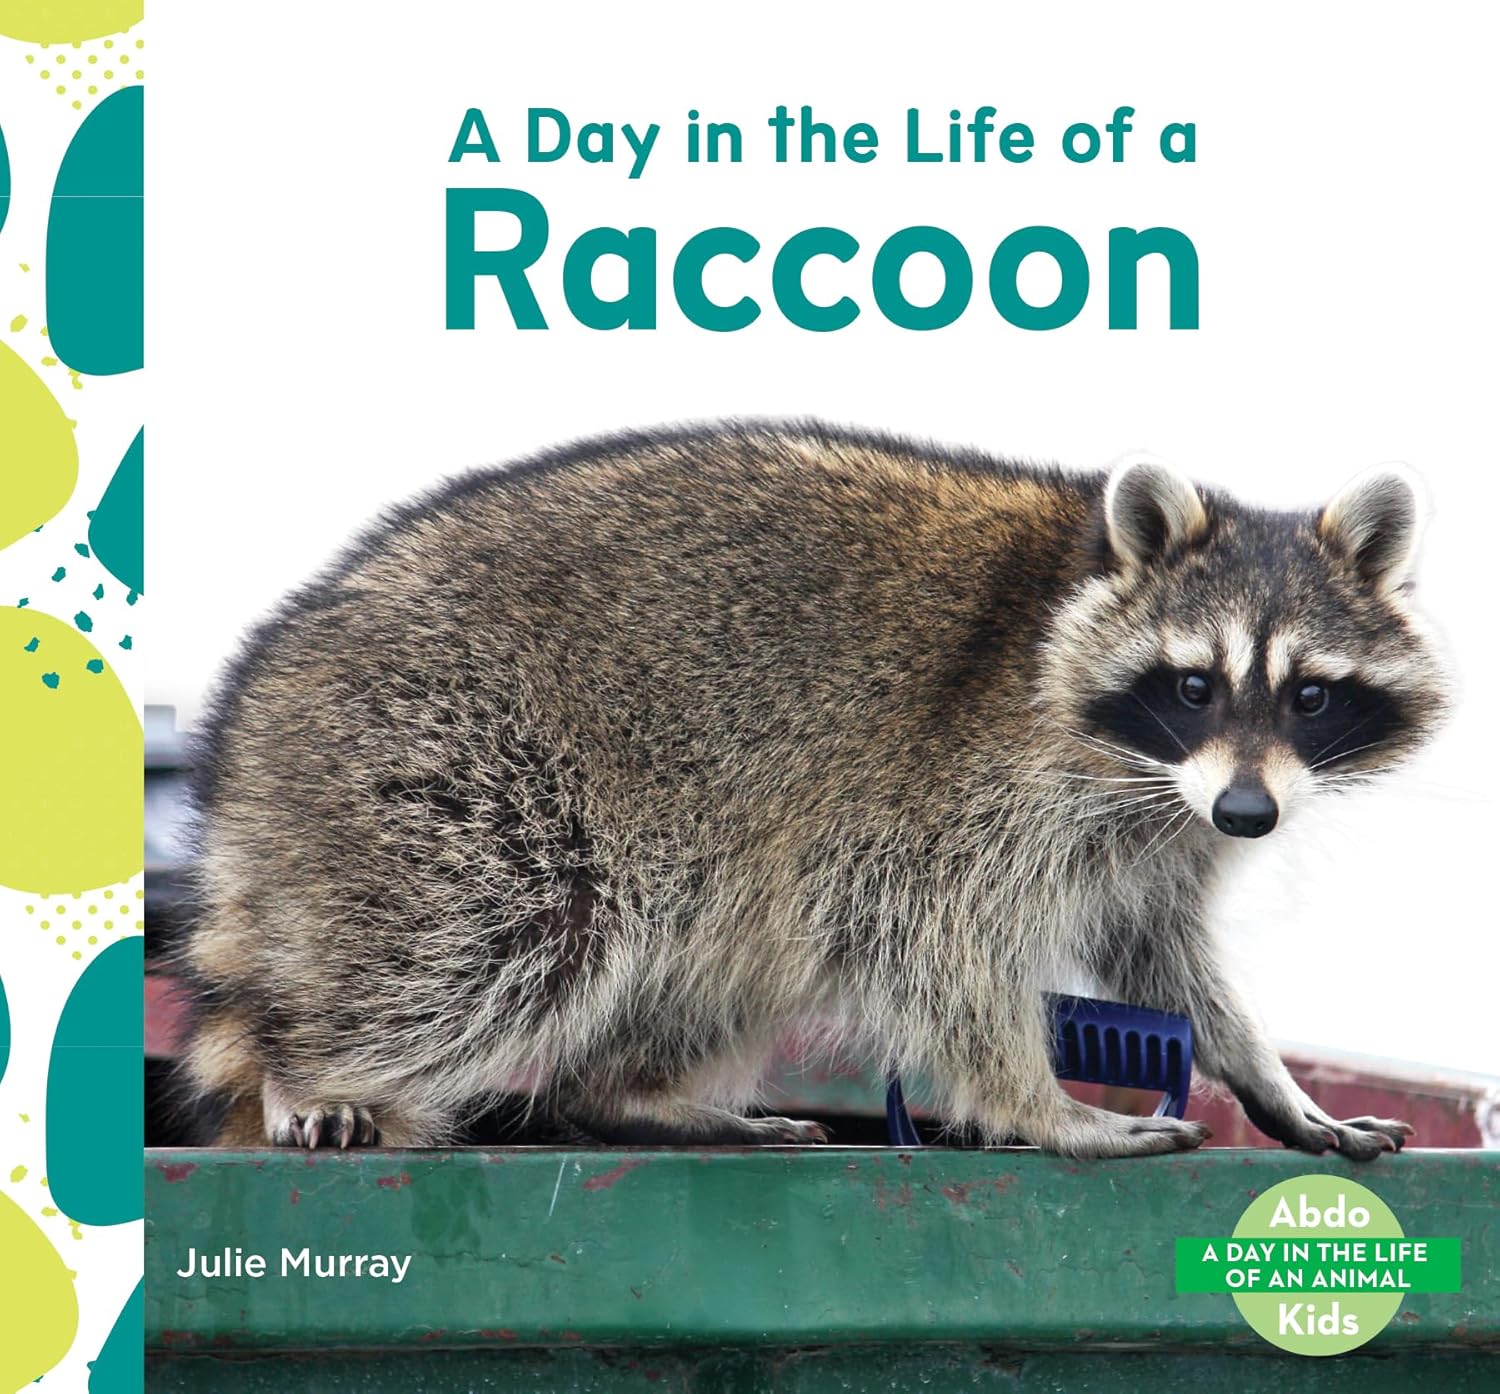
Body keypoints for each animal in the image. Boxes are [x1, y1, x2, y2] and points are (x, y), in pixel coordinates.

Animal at [178, 421, 1447, 1159]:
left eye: (1312, 696)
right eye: (1192, 683)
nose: (1251, 815)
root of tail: (262, 703)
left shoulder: (1158, 829)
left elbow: (1160, 954)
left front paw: (1263, 1076)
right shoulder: (967, 790)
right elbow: (942, 942)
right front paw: (1034, 1103)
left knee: (723, 939)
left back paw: (629, 1089)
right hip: (443, 764)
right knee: (492, 932)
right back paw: (311, 1061)